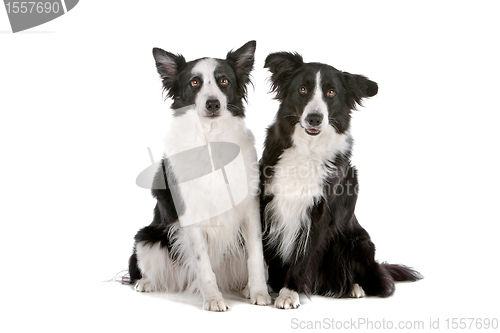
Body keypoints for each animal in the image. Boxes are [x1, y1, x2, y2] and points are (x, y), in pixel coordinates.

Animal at [127, 41, 272, 312]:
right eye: (194, 83)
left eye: (224, 81)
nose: (213, 103)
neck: (211, 138)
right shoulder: (191, 214)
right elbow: (203, 264)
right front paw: (213, 298)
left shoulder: (249, 208)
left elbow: (256, 256)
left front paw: (260, 292)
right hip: (146, 238)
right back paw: (146, 283)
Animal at [260, 52, 420, 308]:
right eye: (303, 89)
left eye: (331, 93)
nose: (315, 118)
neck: (308, 149)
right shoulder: (267, 202)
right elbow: (264, 252)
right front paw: (264, 287)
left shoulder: (319, 214)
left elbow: (303, 257)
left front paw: (289, 292)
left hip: (356, 242)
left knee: (380, 282)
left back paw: (354, 287)